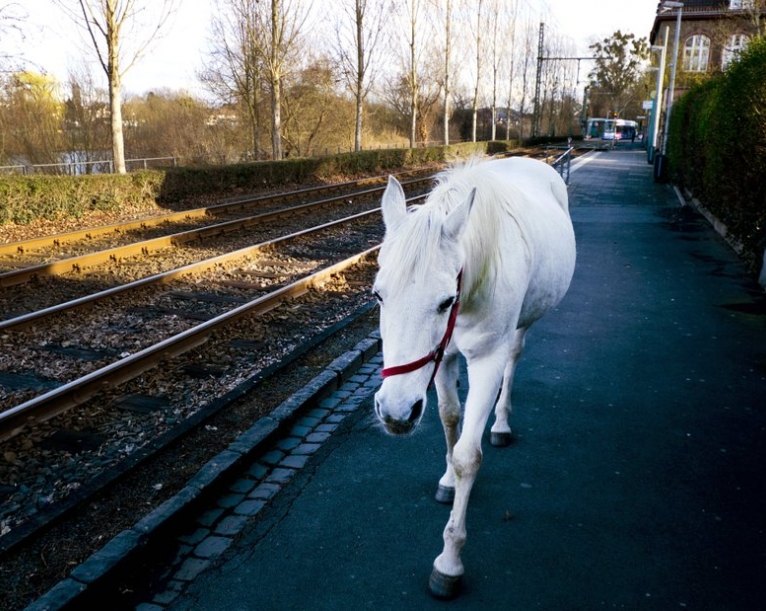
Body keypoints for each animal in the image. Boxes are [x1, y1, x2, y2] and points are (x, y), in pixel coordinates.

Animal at [372, 155, 576, 600]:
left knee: (514, 359)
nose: (396, 412)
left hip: (521, 326)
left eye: (446, 300)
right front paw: (448, 480)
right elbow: (450, 419)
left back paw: (500, 424)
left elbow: (469, 455)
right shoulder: (442, 357)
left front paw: (449, 562)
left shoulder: (485, 360)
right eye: (378, 295)